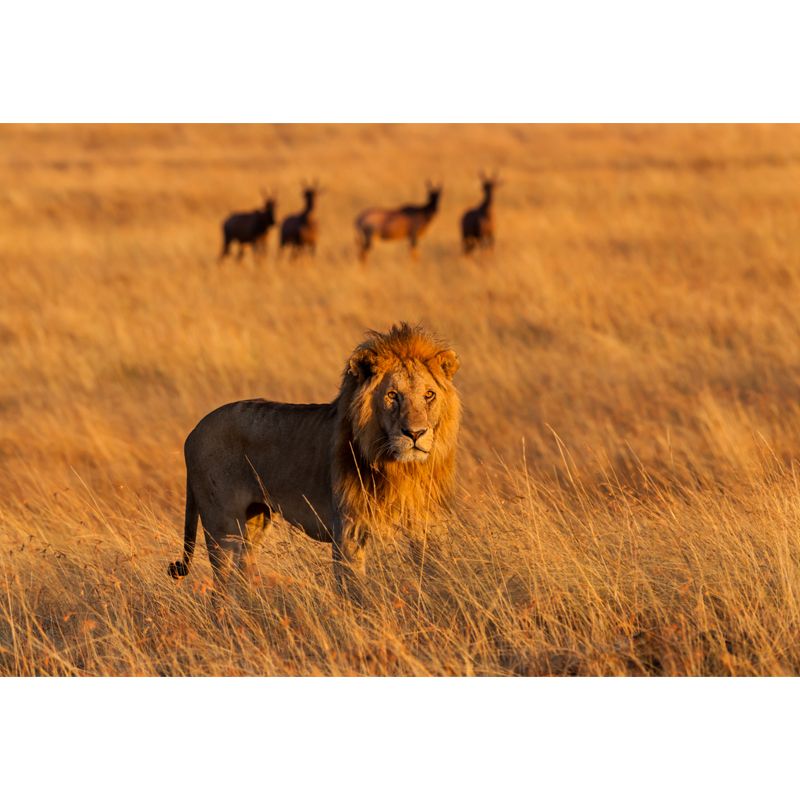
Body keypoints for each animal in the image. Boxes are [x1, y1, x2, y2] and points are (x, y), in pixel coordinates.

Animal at [168, 322, 461, 598]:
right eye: (392, 395)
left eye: (429, 395)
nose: (415, 433)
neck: (400, 468)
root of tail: (193, 432)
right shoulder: (349, 531)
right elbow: (355, 591)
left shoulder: (424, 525)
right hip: (224, 528)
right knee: (222, 588)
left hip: (254, 522)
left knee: (242, 576)